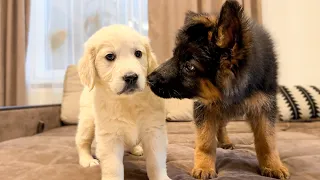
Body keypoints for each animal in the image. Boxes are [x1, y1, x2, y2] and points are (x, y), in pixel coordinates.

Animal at [75, 25, 171, 180]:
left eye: (138, 53)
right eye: (110, 56)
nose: (131, 77)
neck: (128, 102)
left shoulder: (154, 130)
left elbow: (155, 161)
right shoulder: (110, 137)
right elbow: (113, 167)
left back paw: (136, 149)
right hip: (87, 121)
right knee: (82, 141)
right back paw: (87, 160)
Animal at [148, 0, 290, 179]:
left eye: (189, 67)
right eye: (174, 56)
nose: (149, 79)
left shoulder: (264, 106)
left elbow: (267, 139)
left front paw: (273, 165)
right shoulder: (205, 107)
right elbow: (205, 140)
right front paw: (204, 166)